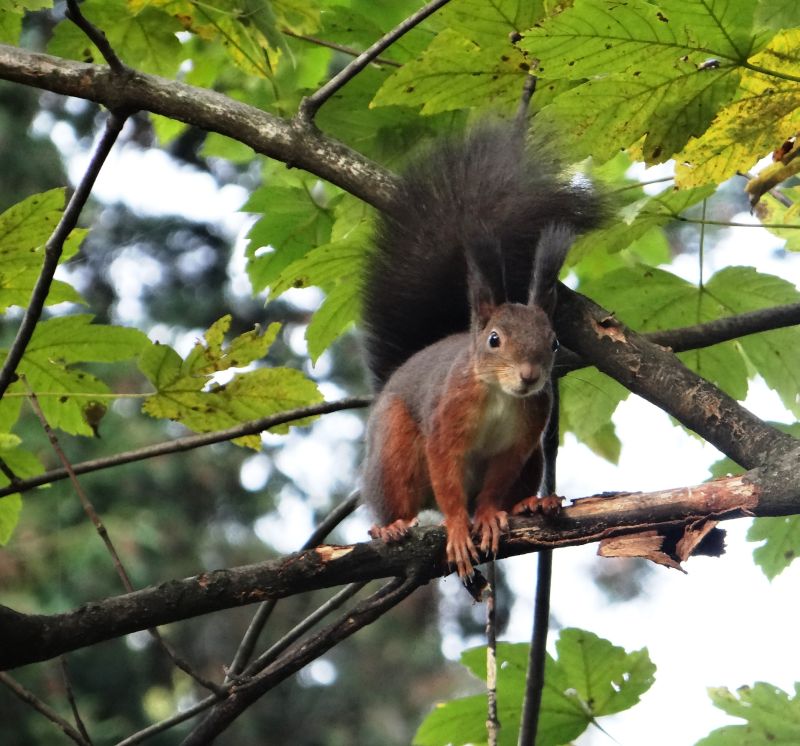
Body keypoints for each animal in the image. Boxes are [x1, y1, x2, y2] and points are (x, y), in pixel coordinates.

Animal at [360, 122, 604, 576]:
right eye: (494, 340)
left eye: (554, 341)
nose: (529, 377)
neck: (499, 395)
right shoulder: (445, 424)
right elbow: (448, 480)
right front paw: (458, 529)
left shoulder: (520, 441)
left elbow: (494, 486)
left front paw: (489, 516)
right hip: (392, 447)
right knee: (397, 497)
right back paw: (392, 527)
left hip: (534, 460)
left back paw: (531, 503)